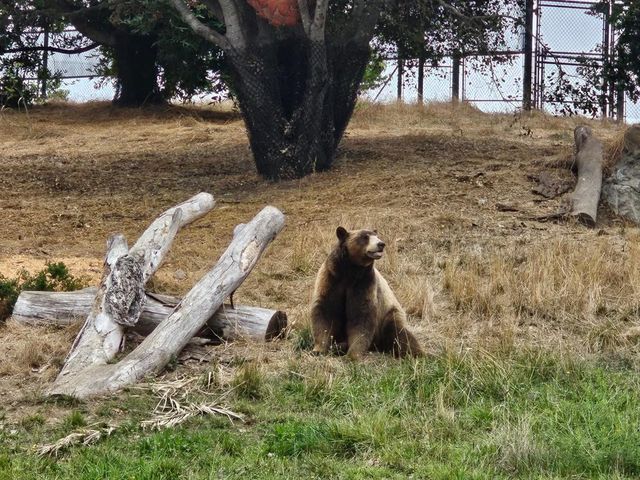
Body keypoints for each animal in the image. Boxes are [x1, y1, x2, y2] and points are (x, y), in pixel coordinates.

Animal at [312, 227, 424, 358]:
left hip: (389, 314)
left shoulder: (364, 283)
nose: (381, 244)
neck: (350, 270)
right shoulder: (332, 278)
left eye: (376, 236)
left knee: (400, 334)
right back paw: (338, 346)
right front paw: (319, 349)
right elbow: (325, 312)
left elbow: (362, 317)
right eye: (365, 237)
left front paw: (353, 354)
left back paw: (417, 353)